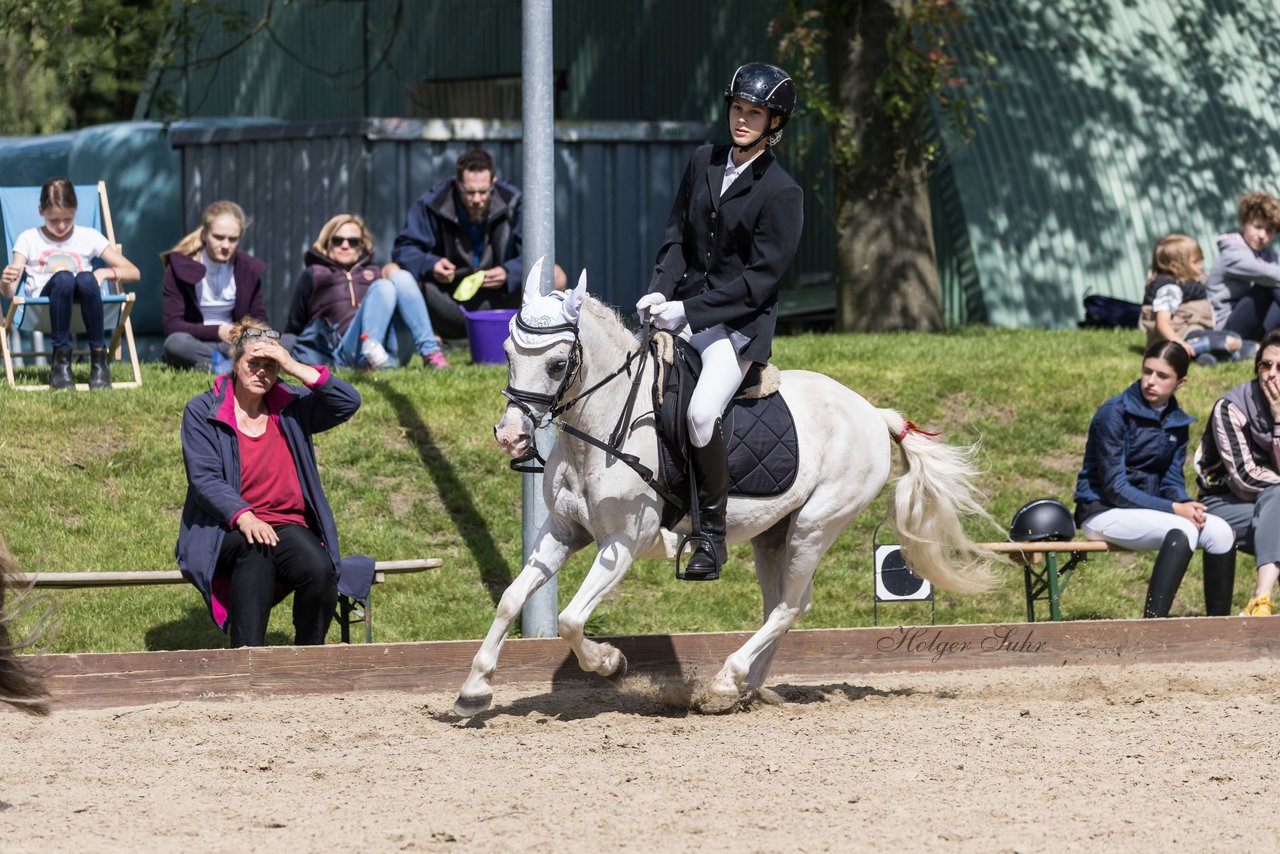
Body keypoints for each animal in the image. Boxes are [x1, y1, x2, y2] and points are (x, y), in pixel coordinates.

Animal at [455, 263, 993, 717]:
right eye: (508, 354)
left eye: (557, 363)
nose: (511, 436)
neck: (603, 425)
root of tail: (871, 411)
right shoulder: (563, 531)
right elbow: (511, 599)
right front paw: (474, 690)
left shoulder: (622, 544)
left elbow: (568, 619)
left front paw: (612, 663)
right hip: (774, 534)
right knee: (782, 605)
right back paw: (742, 689)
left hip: (816, 524)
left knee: (790, 605)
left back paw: (724, 682)